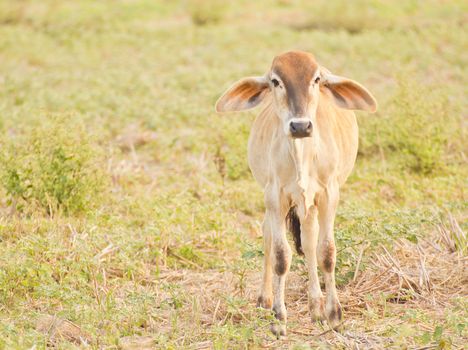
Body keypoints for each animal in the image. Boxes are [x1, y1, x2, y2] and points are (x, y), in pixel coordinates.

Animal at [216, 50, 376, 334]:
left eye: (316, 79)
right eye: (275, 81)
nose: (300, 126)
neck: (302, 154)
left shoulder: (329, 195)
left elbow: (326, 252)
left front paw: (333, 314)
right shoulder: (275, 197)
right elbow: (281, 256)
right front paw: (279, 318)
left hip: (309, 205)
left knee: (310, 240)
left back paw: (316, 306)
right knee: (269, 235)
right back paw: (265, 300)